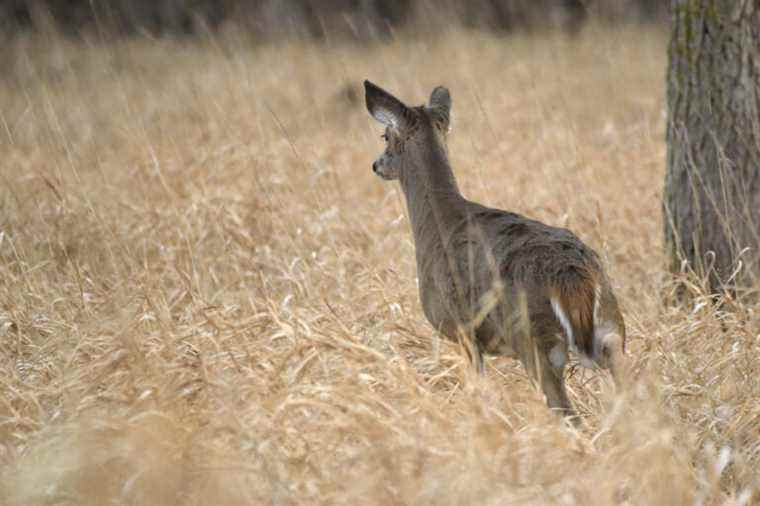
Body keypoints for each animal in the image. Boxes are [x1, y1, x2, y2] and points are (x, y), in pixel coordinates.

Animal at [366, 79, 628, 420]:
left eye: (386, 135)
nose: (376, 164)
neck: (437, 223)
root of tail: (573, 276)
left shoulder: (463, 329)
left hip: (536, 339)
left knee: (566, 412)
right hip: (612, 329)